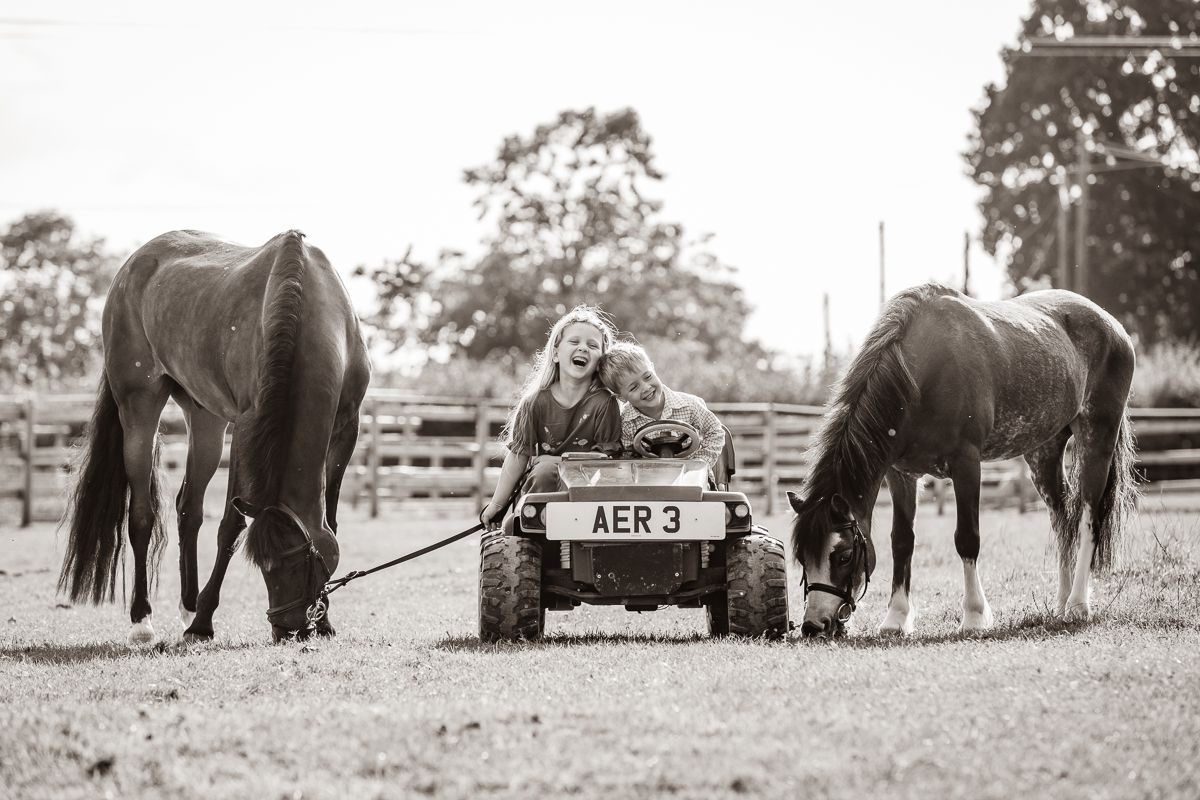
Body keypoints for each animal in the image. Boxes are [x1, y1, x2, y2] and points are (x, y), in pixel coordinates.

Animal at [57, 230, 371, 643]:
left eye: (304, 563)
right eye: (267, 566)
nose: (288, 628)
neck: (305, 307)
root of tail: (135, 262)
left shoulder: (346, 431)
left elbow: (330, 522)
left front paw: (326, 621)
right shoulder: (245, 432)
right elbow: (230, 529)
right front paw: (203, 622)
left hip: (205, 421)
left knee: (188, 509)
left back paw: (187, 604)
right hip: (138, 410)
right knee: (141, 515)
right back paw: (143, 620)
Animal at [788, 283, 1137, 638]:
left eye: (844, 555)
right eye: (802, 556)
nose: (814, 625)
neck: (923, 374)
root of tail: (1112, 325)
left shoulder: (966, 465)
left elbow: (967, 539)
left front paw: (973, 615)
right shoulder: (902, 475)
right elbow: (902, 542)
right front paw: (896, 618)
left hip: (1097, 439)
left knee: (1087, 517)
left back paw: (1078, 605)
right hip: (1045, 453)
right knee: (1063, 516)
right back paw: (1062, 602)